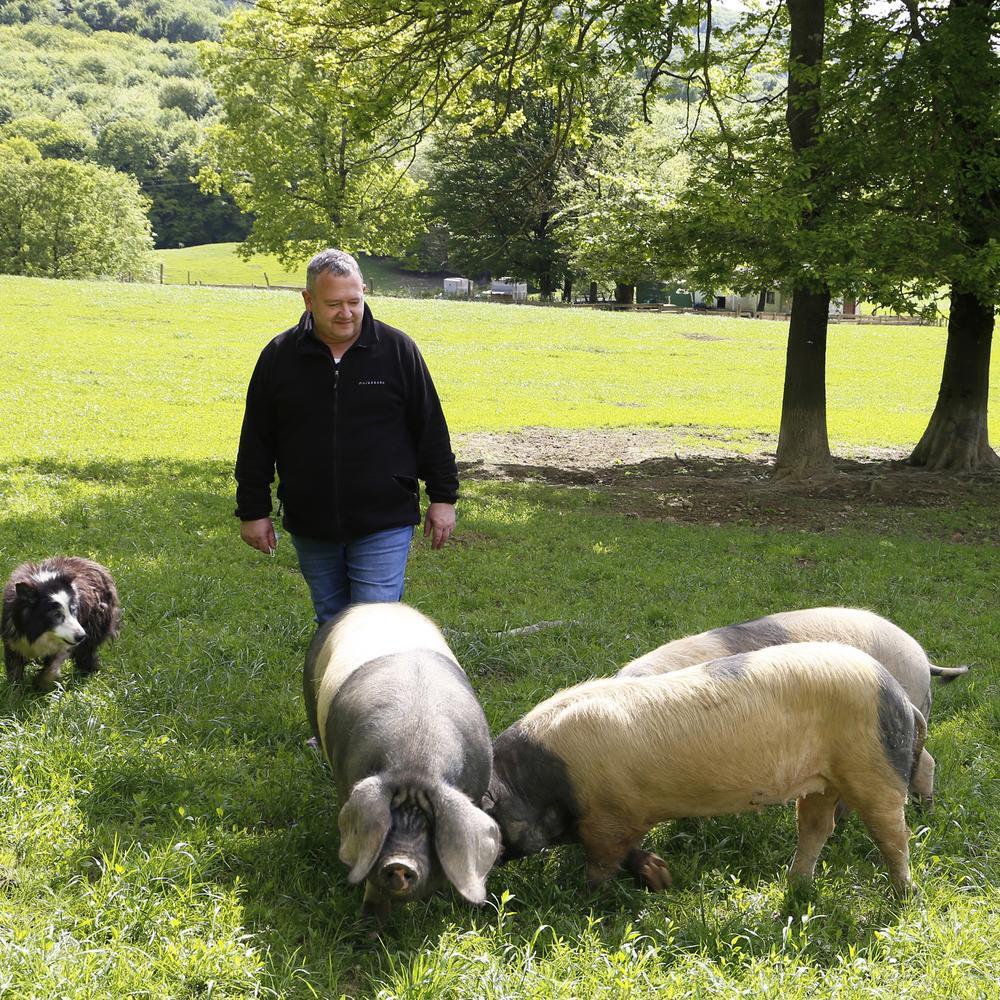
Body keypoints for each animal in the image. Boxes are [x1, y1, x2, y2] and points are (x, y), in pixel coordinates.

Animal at [300, 600, 496, 920]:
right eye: (389, 821)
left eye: (429, 825)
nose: (400, 864)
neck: (416, 764)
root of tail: (374, 604)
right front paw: (369, 928)